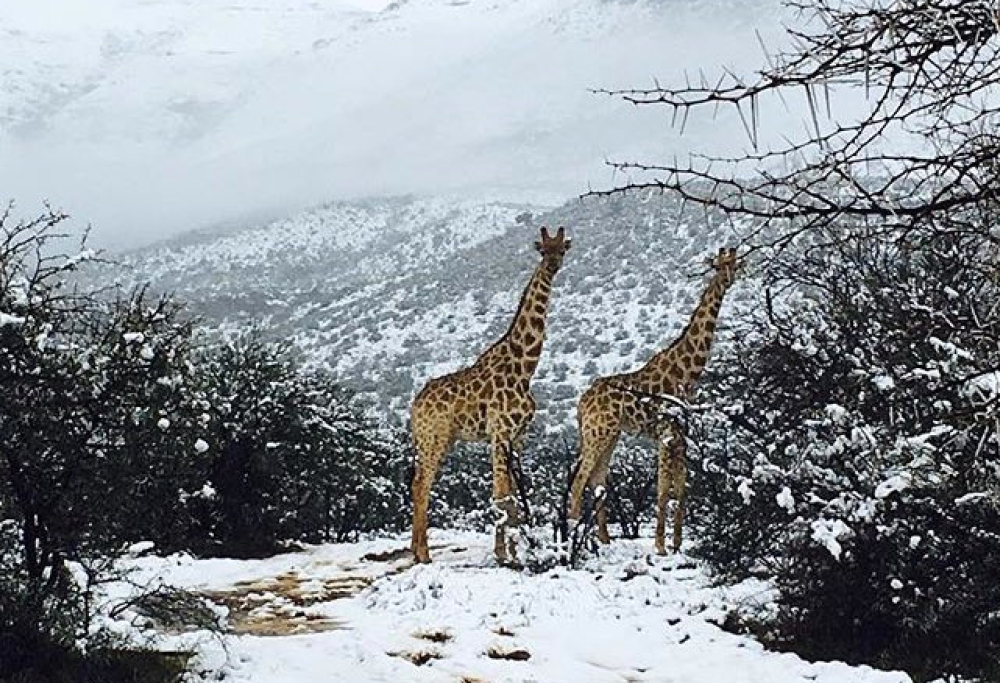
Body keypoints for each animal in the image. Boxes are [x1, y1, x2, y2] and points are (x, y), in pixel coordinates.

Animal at [410, 226, 572, 564]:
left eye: (562, 249)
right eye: (542, 250)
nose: (552, 266)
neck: (525, 368)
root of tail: (415, 405)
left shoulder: (517, 436)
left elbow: (512, 496)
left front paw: (515, 552)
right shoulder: (499, 432)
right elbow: (501, 495)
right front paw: (503, 555)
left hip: (437, 440)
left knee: (418, 483)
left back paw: (416, 550)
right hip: (434, 438)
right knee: (421, 485)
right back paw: (423, 554)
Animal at [567, 247, 740, 554]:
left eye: (734, 262)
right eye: (718, 265)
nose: (728, 279)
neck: (687, 372)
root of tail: (582, 402)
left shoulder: (681, 434)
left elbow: (681, 488)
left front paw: (677, 543)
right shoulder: (666, 432)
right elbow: (662, 490)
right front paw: (660, 545)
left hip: (610, 435)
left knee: (597, 480)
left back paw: (603, 540)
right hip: (597, 432)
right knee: (579, 481)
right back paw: (574, 538)